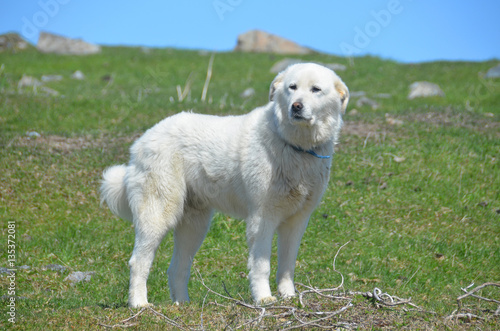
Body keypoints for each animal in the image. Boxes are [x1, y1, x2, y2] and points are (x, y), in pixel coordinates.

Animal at [100, 63, 350, 308]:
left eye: (315, 89)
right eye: (292, 87)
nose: (296, 106)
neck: (295, 145)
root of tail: (143, 139)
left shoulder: (296, 221)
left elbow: (287, 265)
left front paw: (288, 296)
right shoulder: (262, 219)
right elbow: (261, 265)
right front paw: (264, 298)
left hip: (194, 226)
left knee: (177, 268)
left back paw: (183, 304)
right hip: (158, 214)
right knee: (138, 262)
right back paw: (139, 304)